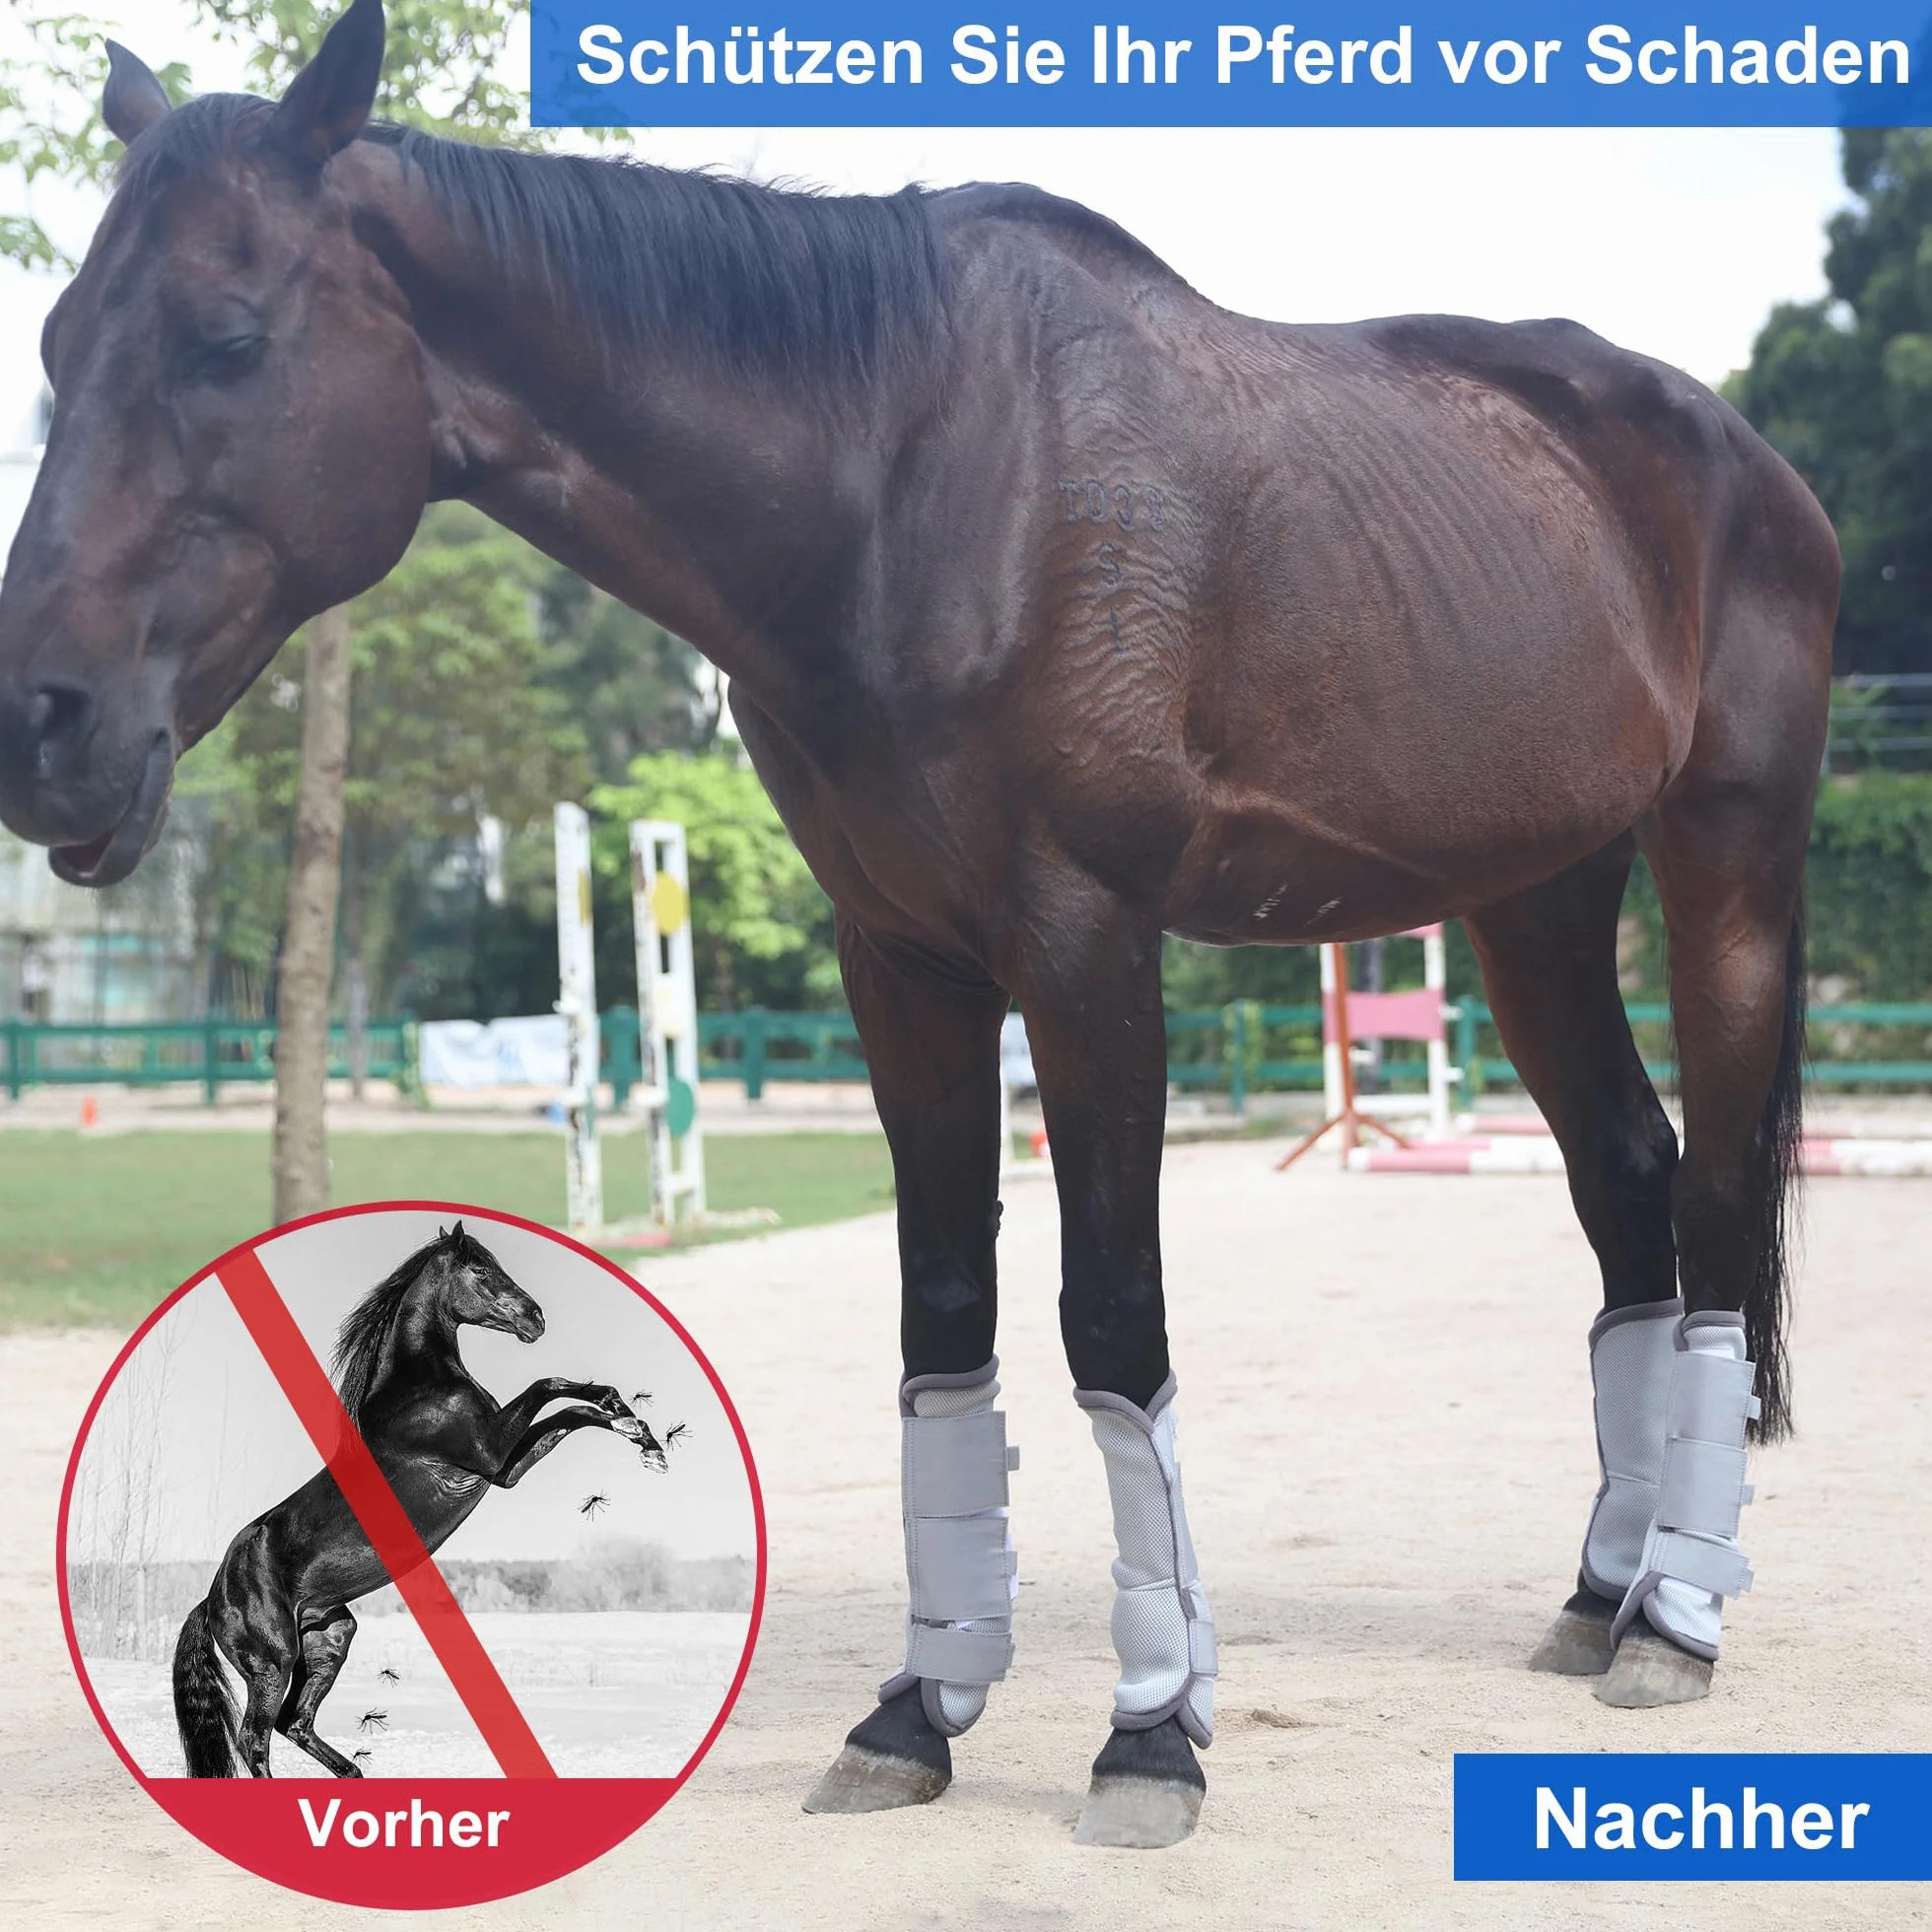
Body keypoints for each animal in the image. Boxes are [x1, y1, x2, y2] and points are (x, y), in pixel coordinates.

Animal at [171, 1222, 664, 1777]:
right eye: (481, 1269)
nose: (535, 1319)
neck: (418, 1390)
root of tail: (212, 1600)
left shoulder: (504, 1469)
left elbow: (570, 1412)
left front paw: (641, 1434)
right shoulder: (490, 1451)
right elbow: (549, 1385)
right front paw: (626, 1417)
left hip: (328, 1639)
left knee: (294, 1722)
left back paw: (356, 1774)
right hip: (272, 1661)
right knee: (254, 1737)